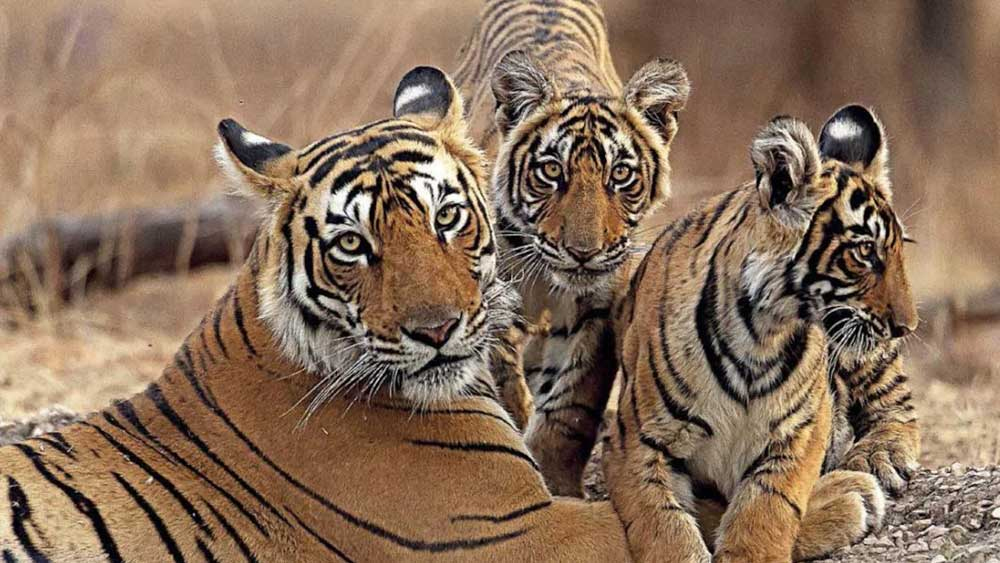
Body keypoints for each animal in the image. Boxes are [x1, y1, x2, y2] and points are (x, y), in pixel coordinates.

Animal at [453, 0, 691, 497]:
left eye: (620, 175)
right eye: (550, 172)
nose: (583, 252)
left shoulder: (599, 308)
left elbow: (570, 409)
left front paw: (556, 480)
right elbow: (505, 380)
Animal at [602, 105, 918, 563]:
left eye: (897, 251)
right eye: (864, 252)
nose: (907, 326)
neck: (759, 334)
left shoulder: (800, 432)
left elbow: (765, 510)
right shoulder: (635, 442)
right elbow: (663, 525)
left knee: (896, 404)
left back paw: (877, 462)